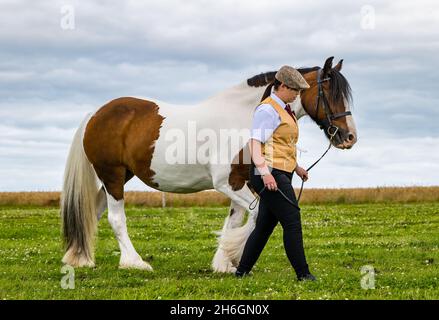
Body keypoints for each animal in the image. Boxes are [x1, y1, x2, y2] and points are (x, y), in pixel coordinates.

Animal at [61, 56, 358, 272]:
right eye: (329, 92)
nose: (349, 137)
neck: (247, 116)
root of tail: (96, 114)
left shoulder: (244, 182)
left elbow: (236, 220)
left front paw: (225, 261)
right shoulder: (229, 183)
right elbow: (253, 218)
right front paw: (230, 254)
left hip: (120, 177)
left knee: (95, 211)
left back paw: (80, 258)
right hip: (112, 176)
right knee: (115, 218)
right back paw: (134, 262)